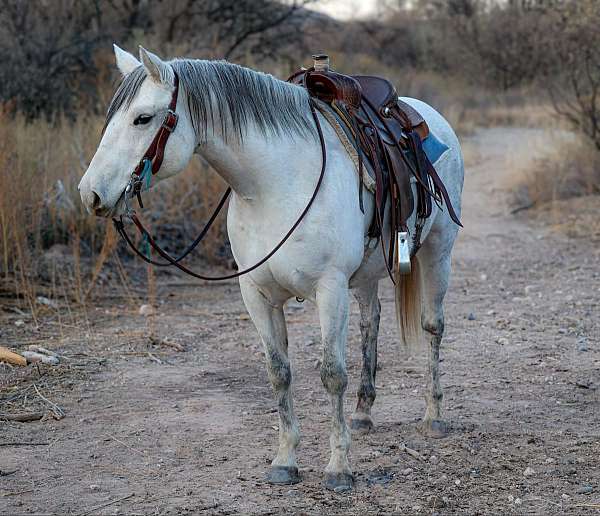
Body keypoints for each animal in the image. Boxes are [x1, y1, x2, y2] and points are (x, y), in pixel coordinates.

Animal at [78, 45, 464, 492]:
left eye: (142, 118)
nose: (90, 193)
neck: (274, 185)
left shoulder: (330, 289)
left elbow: (332, 373)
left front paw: (338, 467)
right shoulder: (257, 294)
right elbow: (279, 372)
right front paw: (285, 461)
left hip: (437, 253)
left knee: (433, 326)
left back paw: (434, 416)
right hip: (367, 275)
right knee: (371, 323)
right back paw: (363, 413)